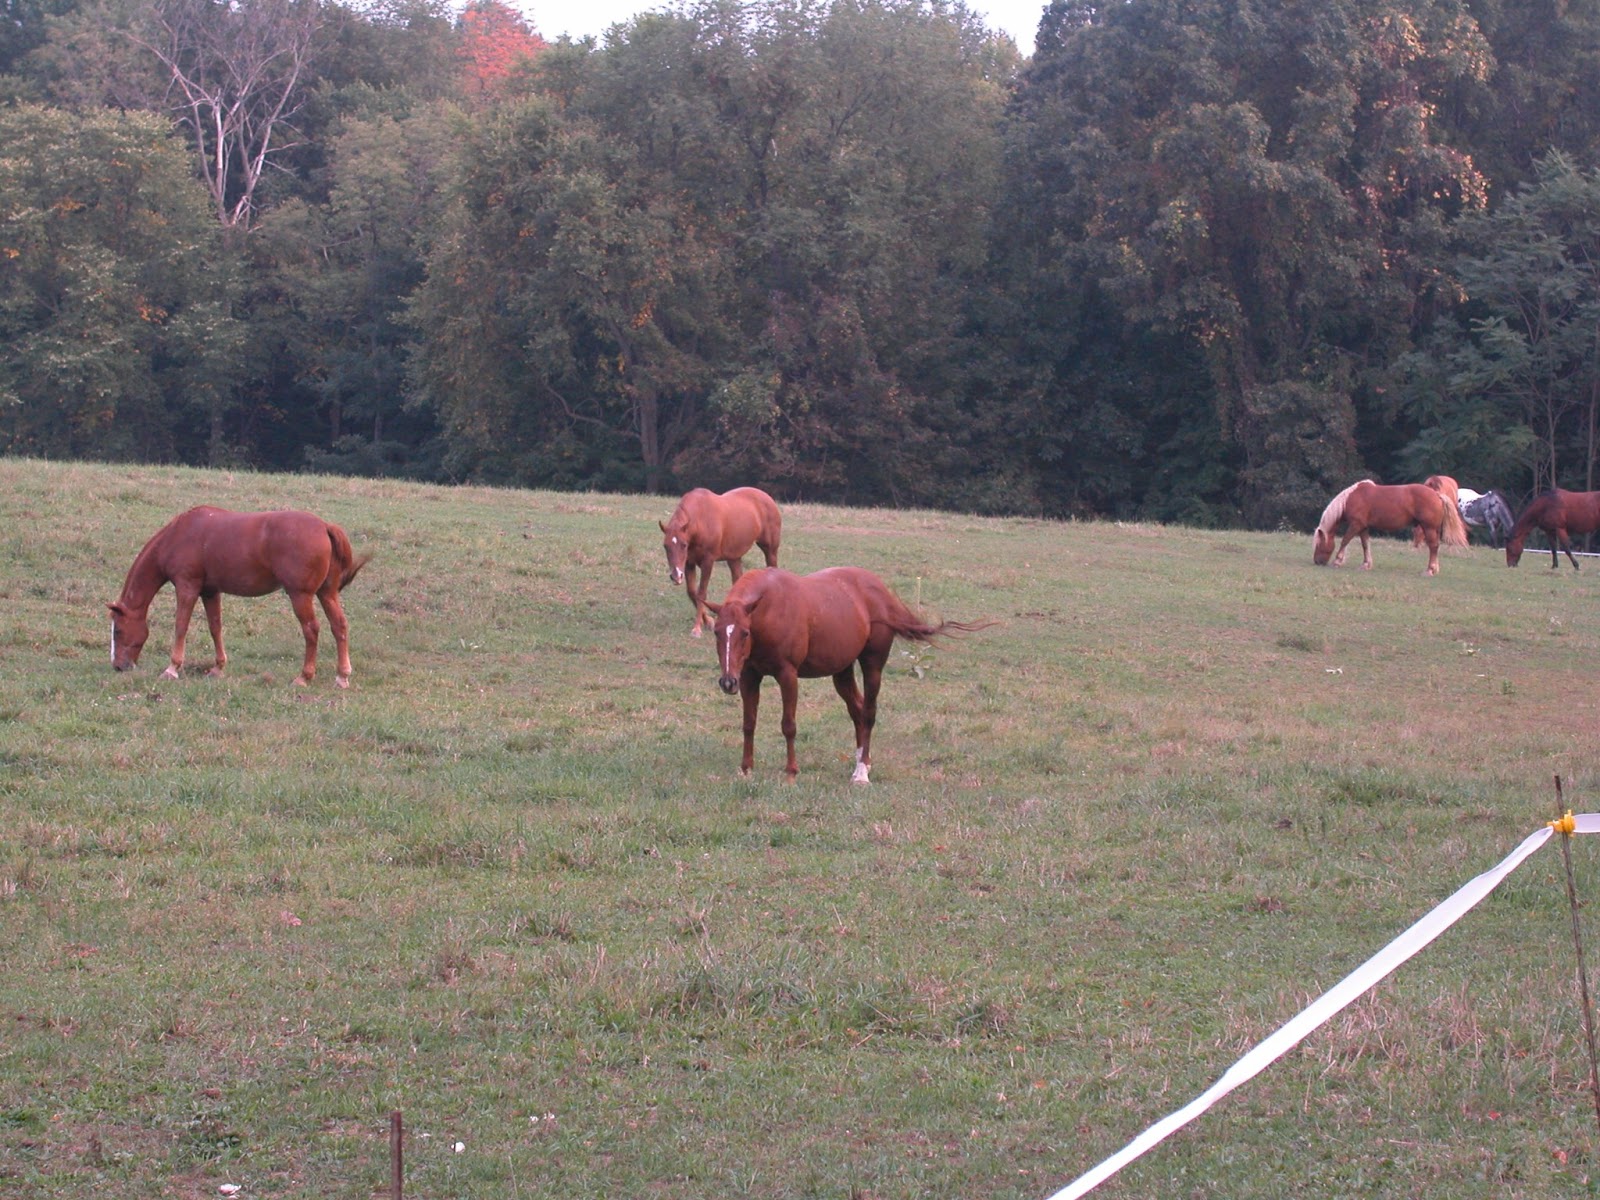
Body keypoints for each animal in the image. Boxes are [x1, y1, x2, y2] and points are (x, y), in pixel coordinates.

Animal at [109, 507, 371, 687]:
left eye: (118, 630)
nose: (118, 666)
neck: (179, 535)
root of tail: (325, 526)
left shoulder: (187, 587)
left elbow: (181, 626)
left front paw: (172, 668)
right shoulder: (210, 591)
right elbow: (215, 627)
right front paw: (218, 668)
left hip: (301, 596)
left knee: (311, 630)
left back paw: (304, 677)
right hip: (327, 593)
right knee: (339, 626)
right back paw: (342, 676)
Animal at [659, 486, 781, 637]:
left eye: (683, 545)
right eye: (666, 546)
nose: (676, 576)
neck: (702, 520)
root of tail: (768, 498)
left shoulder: (708, 562)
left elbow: (701, 593)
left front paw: (697, 628)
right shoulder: (689, 563)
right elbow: (692, 592)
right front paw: (709, 622)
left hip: (770, 551)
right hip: (734, 558)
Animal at [707, 567, 989, 783]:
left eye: (745, 632)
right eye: (717, 632)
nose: (727, 682)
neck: (770, 610)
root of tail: (882, 594)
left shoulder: (787, 675)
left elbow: (788, 725)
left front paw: (791, 772)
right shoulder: (748, 677)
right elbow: (748, 723)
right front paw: (746, 770)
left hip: (872, 666)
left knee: (869, 712)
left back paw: (861, 772)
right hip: (841, 672)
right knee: (857, 710)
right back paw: (863, 758)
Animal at [1311, 479, 1469, 575]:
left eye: (1318, 544)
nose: (1317, 562)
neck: (1352, 498)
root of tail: (1437, 494)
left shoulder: (1356, 525)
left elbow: (1345, 541)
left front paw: (1337, 561)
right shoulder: (1363, 527)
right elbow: (1365, 545)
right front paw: (1366, 564)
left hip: (1428, 528)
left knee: (1433, 547)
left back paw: (1429, 570)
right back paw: (1434, 569)